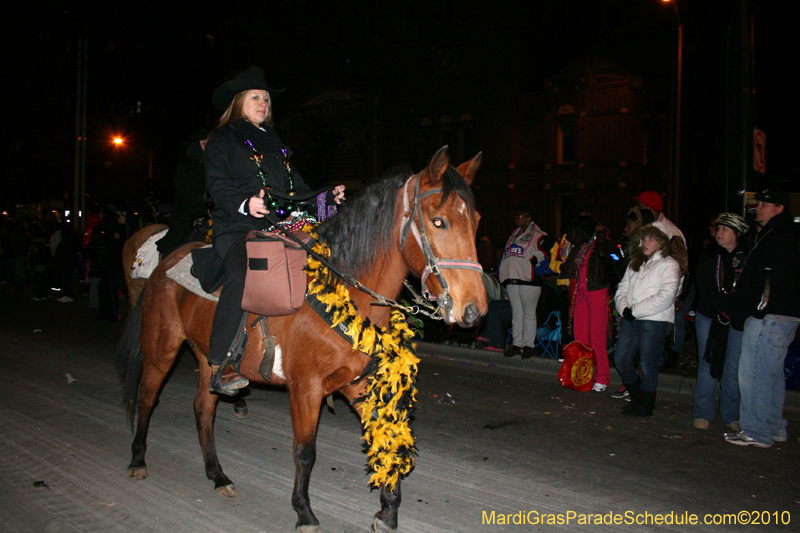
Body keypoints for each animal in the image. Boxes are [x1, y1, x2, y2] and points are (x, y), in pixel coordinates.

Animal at [115, 147, 484, 532]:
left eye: (476, 220)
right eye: (439, 222)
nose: (474, 310)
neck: (346, 289)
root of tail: (163, 263)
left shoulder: (357, 384)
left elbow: (385, 436)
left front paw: (388, 509)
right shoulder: (305, 388)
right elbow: (305, 451)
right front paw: (304, 511)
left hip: (208, 359)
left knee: (204, 408)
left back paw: (217, 475)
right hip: (161, 349)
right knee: (147, 399)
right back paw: (138, 460)